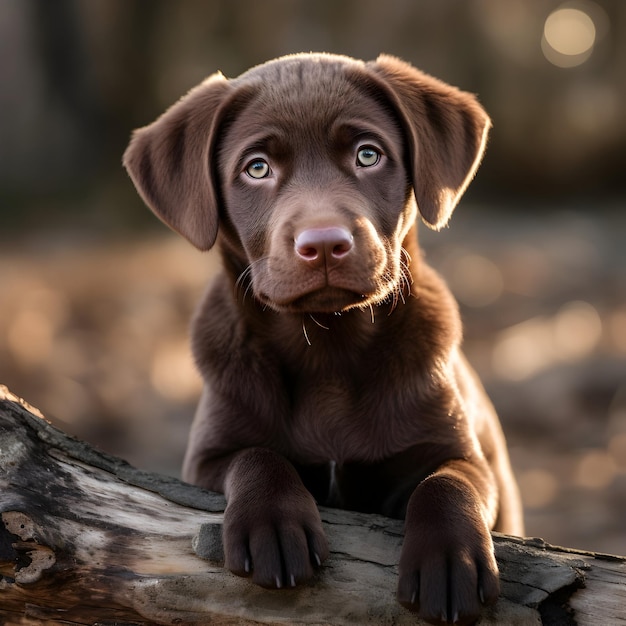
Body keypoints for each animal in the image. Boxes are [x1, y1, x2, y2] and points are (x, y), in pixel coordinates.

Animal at [122, 53, 520, 624]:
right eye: (257, 168)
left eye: (368, 155)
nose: (326, 243)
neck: (328, 345)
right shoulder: (204, 460)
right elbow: (257, 456)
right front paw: (273, 526)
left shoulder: (460, 453)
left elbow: (448, 483)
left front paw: (450, 560)